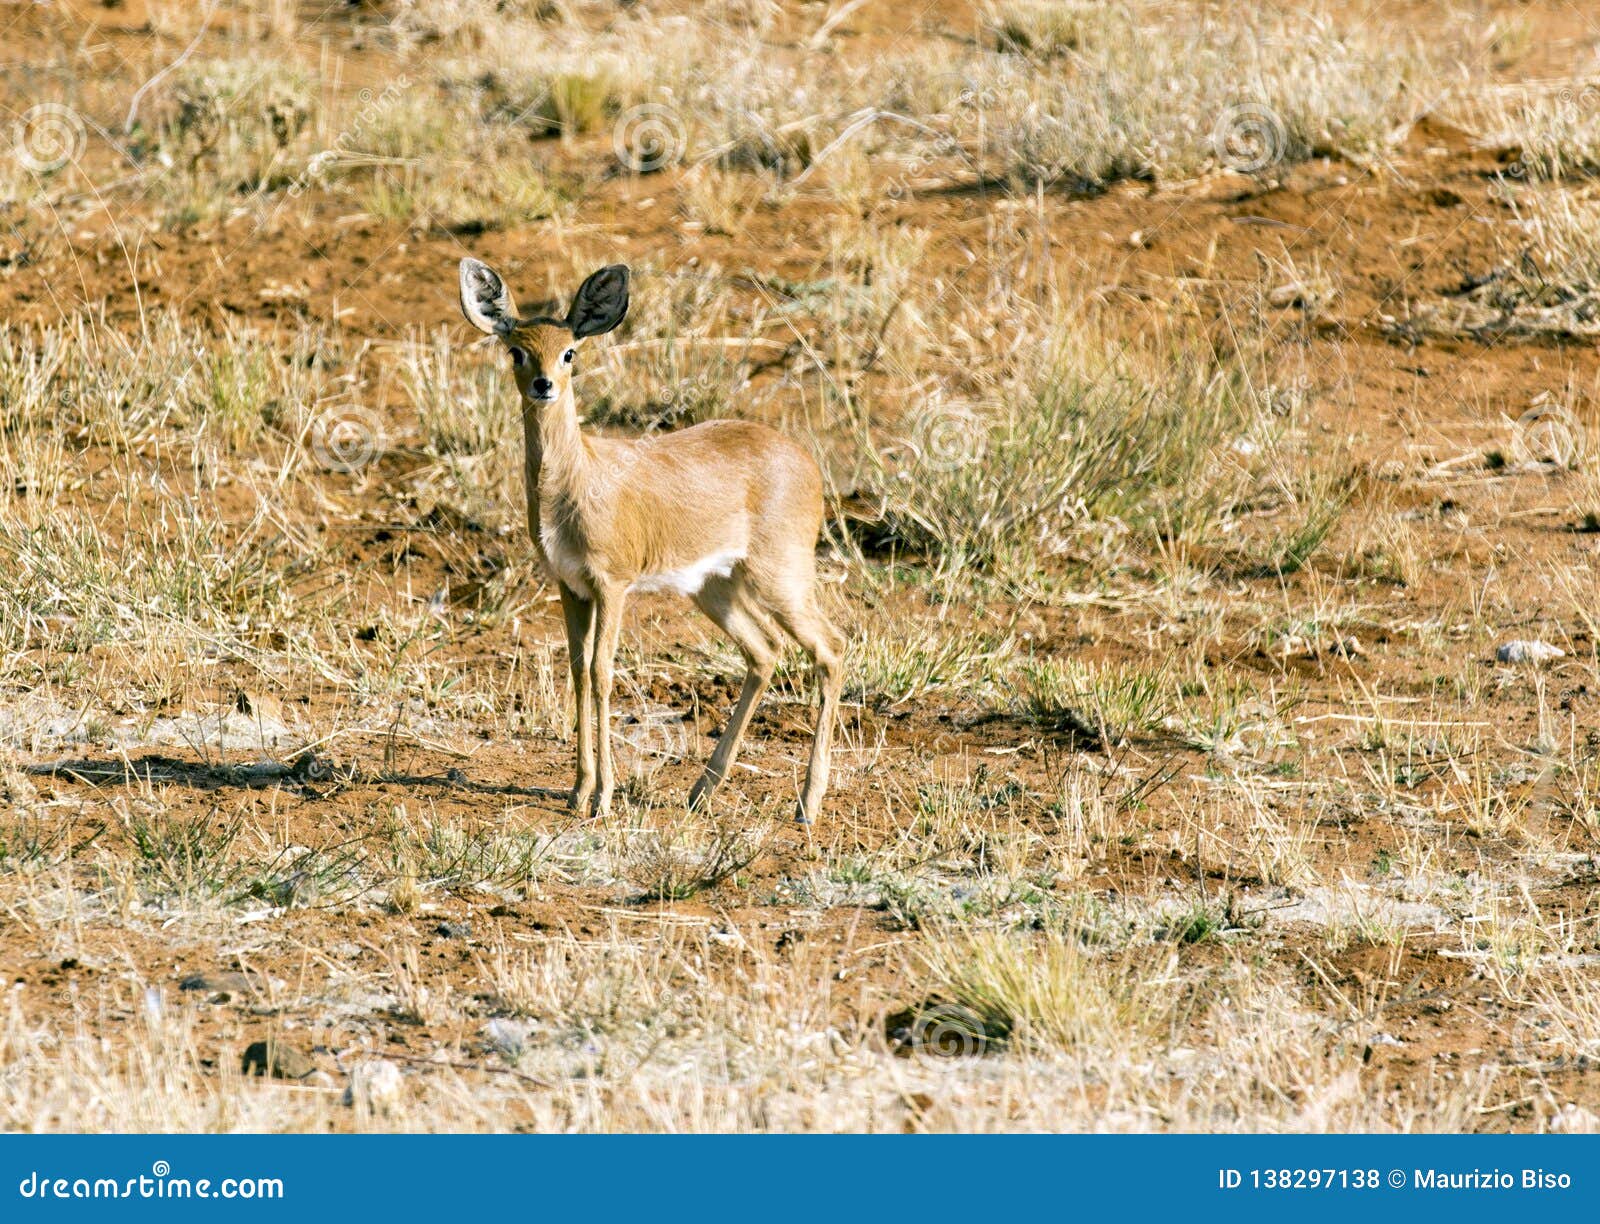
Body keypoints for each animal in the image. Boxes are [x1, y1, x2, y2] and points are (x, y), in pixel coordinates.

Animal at [457, 262, 844, 825]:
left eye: (569, 351)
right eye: (516, 351)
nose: (544, 385)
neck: (574, 481)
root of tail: (806, 460)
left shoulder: (612, 585)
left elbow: (602, 672)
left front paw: (603, 796)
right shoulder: (571, 587)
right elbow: (577, 671)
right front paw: (578, 790)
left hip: (781, 579)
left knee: (831, 650)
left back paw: (807, 805)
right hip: (714, 587)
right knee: (764, 653)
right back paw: (701, 791)